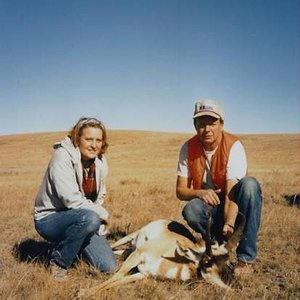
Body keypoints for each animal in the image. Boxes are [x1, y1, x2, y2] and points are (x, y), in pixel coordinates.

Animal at [78, 212, 245, 296]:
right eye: (207, 262)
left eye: (230, 263)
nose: (237, 288)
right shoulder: (138, 255)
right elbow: (116, 276)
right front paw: (83, 292)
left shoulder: (142, 274)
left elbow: (119, 281)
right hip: (129, 239)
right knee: (113, 246)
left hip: (128, 250)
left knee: (119, 252)